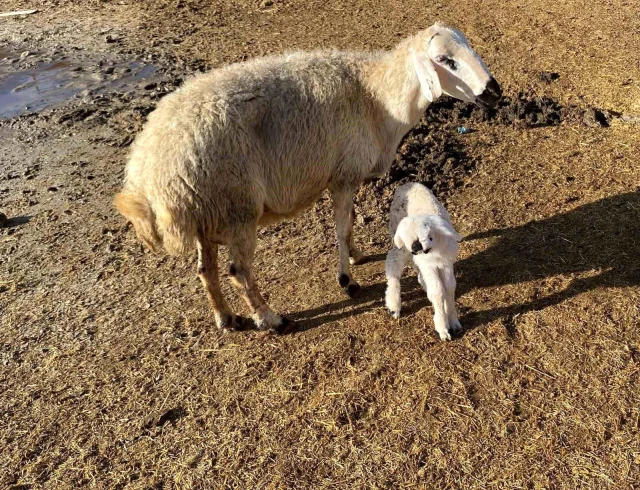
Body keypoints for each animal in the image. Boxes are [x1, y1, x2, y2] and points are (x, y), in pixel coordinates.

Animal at [382, 184, 462, 340]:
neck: (434, 252)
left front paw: (454, 323)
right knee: (393, 260)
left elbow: (449, 287)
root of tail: (405, 184)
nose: (416, 246)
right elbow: (438, 290)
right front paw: (443, 329)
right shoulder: (428, 265)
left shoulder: (446, 262)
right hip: (400, 243)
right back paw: (394, 306)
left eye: (429, 235)